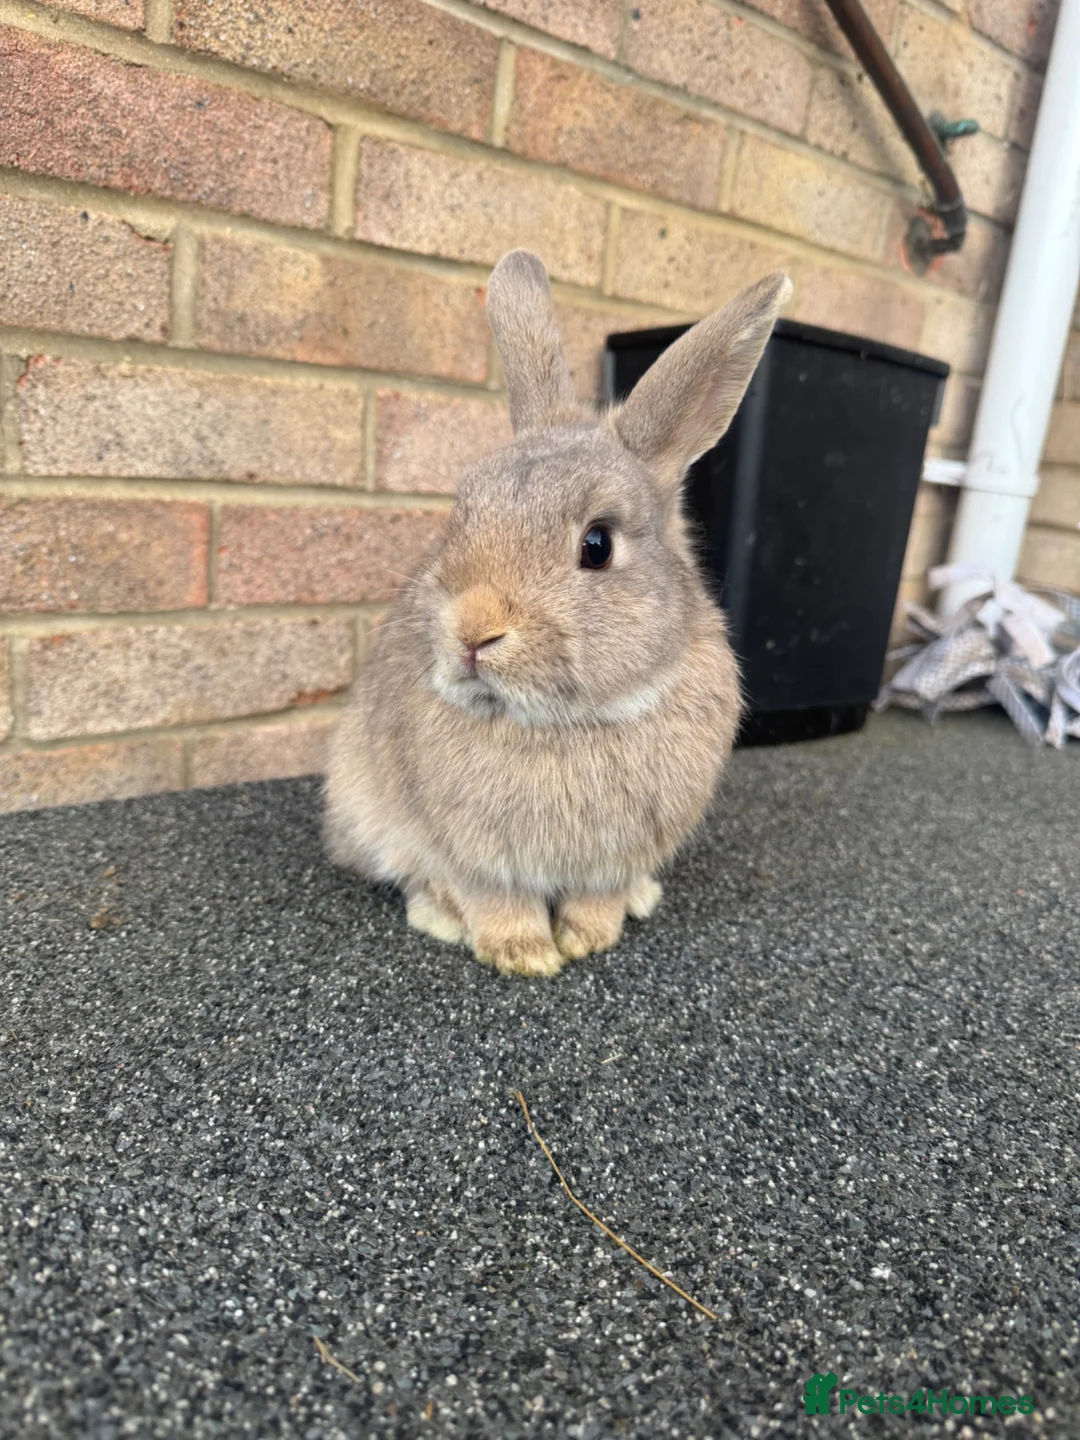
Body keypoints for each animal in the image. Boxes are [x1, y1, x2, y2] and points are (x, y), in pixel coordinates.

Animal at [324, 249, 792, 977]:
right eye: (461, 514)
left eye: (596, 545)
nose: (472, 632)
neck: (563, 725)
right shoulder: (474, 856)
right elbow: (491, 899)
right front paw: (523, 955)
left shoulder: (615, 856)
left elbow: (598, 897)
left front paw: (588, 938)